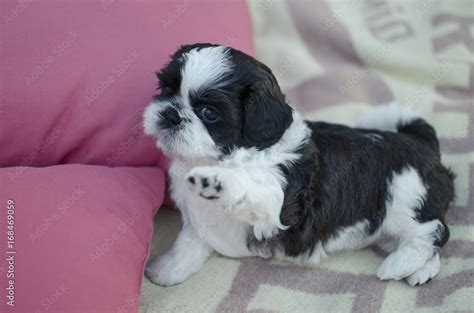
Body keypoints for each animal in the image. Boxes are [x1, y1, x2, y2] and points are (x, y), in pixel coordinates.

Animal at [143, 43, 454, 286]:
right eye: (167, 89)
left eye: (209, 113)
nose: (170, 114)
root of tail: (421, 142)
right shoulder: (196, 221)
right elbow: (188, 244)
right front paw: (167, 269)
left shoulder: (276, 204)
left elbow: (248, 186)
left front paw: (215, 180)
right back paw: (421, 270)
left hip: (404, 196)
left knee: (433, 230)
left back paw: (400, 264)